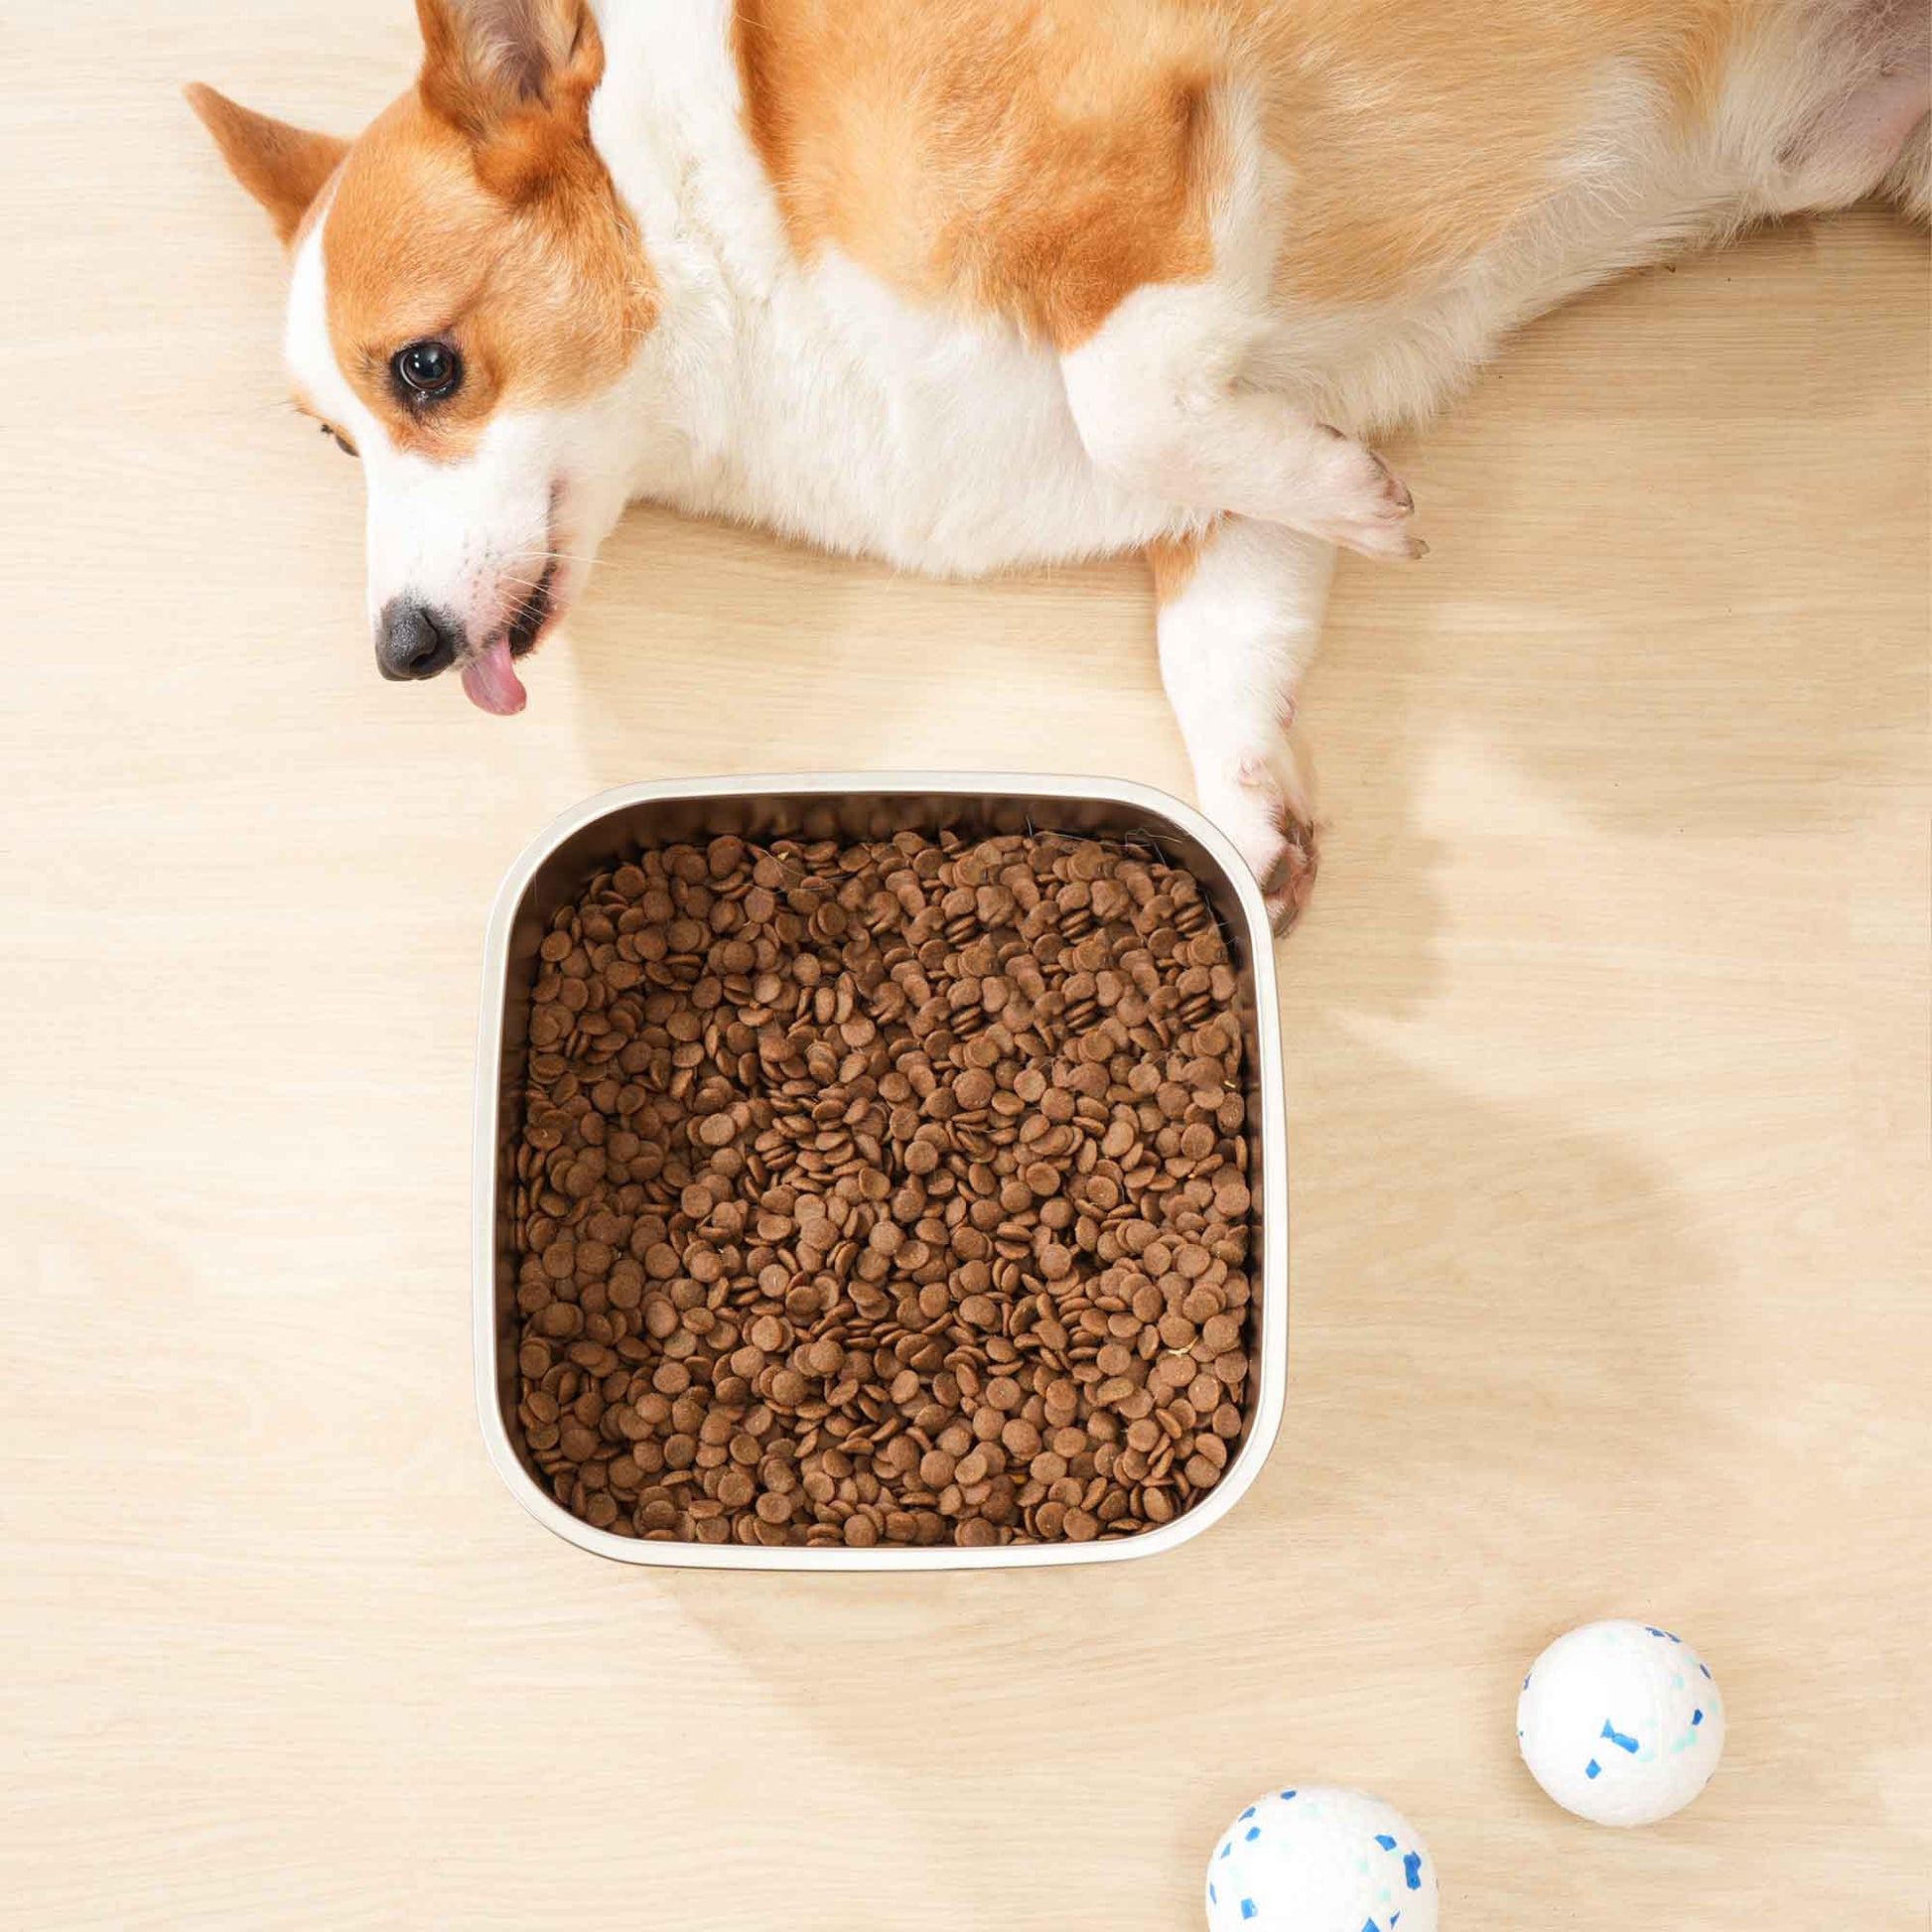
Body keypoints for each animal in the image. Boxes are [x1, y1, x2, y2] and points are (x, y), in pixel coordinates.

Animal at [188, 0, 1924, 923]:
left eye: (426, 369)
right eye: (334, 439)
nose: (401, 651)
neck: (715, 254)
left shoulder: (1148, 169)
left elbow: (1126, 401)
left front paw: (1371, 505)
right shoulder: (1248, 438)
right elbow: (1220, 627)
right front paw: (1251, 828)